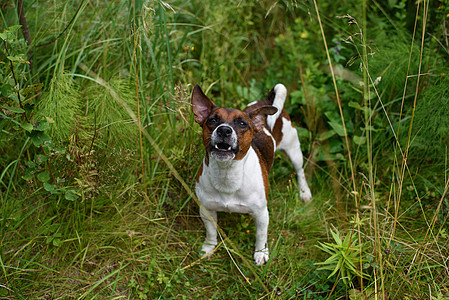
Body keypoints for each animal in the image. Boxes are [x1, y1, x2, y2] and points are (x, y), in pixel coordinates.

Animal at [190, 82, 312, 264]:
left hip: (294, 151)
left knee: (300, 171)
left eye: (242, 124)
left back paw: (304, 192)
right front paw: (209, 247)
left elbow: (261, 234)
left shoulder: (261, 213)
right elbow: (211, 231)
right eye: (212, 120)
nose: (224, 130)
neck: (227, 173)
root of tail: (266, 101)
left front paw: (261, 253)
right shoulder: (206, 209)